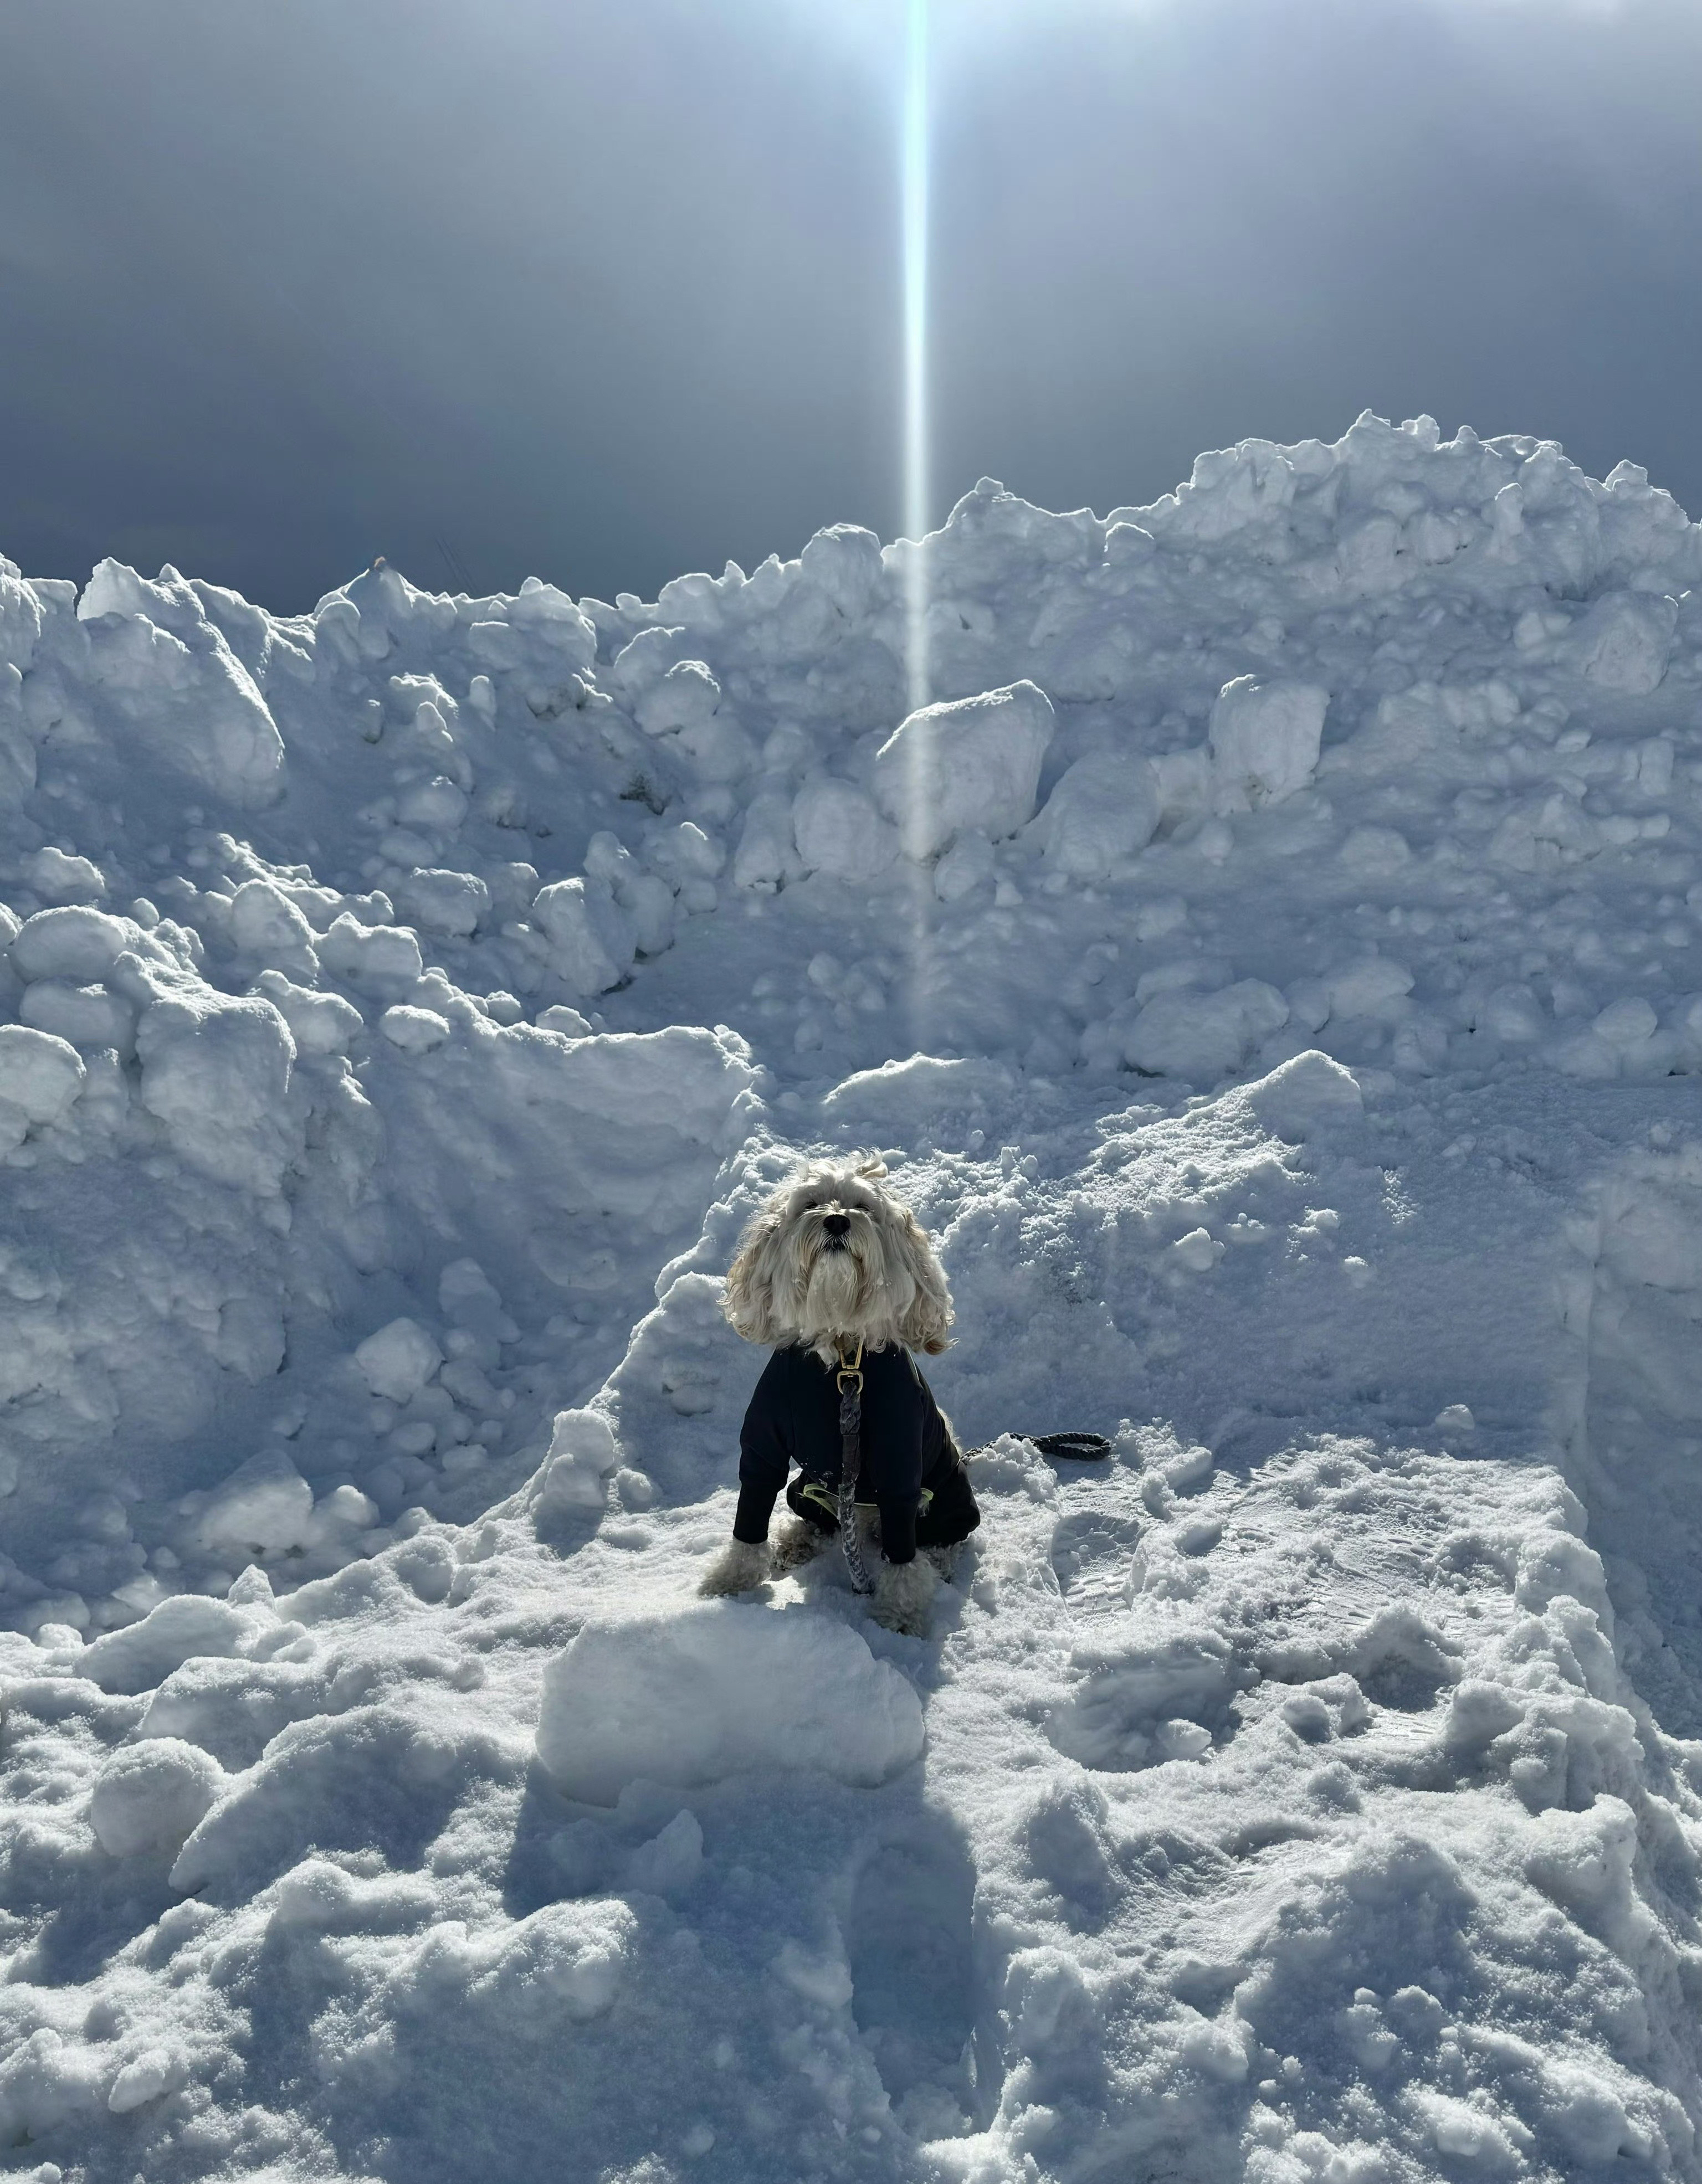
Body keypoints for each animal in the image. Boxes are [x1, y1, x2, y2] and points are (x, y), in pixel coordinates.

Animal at [699, 1162, 966, 1642]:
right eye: (811, 1203)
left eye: (863, 1206)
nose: (838, 1221)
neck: (842, 1347)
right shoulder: (762, 1448)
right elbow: (750, 1514)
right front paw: (730, 1582)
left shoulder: (900, 1468)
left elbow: (903, 1558)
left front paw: (899, 1616)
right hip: (806, 1488)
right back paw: (798, 1542)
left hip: (948, 1494)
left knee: (939, 1538)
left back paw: (936, 1560)